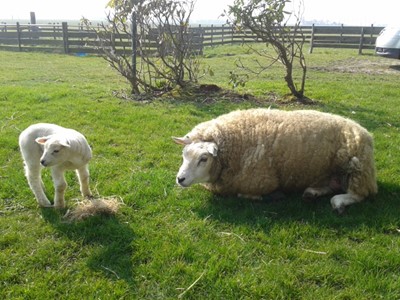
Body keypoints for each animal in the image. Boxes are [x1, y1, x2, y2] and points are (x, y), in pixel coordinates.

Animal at [173, 108, 378, 213]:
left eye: (204, 158)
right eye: (184, 154)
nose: (180, 179)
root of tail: (366, 133)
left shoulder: (262, 181)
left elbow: (244, 194)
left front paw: (271, 196)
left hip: (356, 168)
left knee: (360, 194)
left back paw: (339, 202)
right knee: (331, 186)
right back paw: (312, 193)